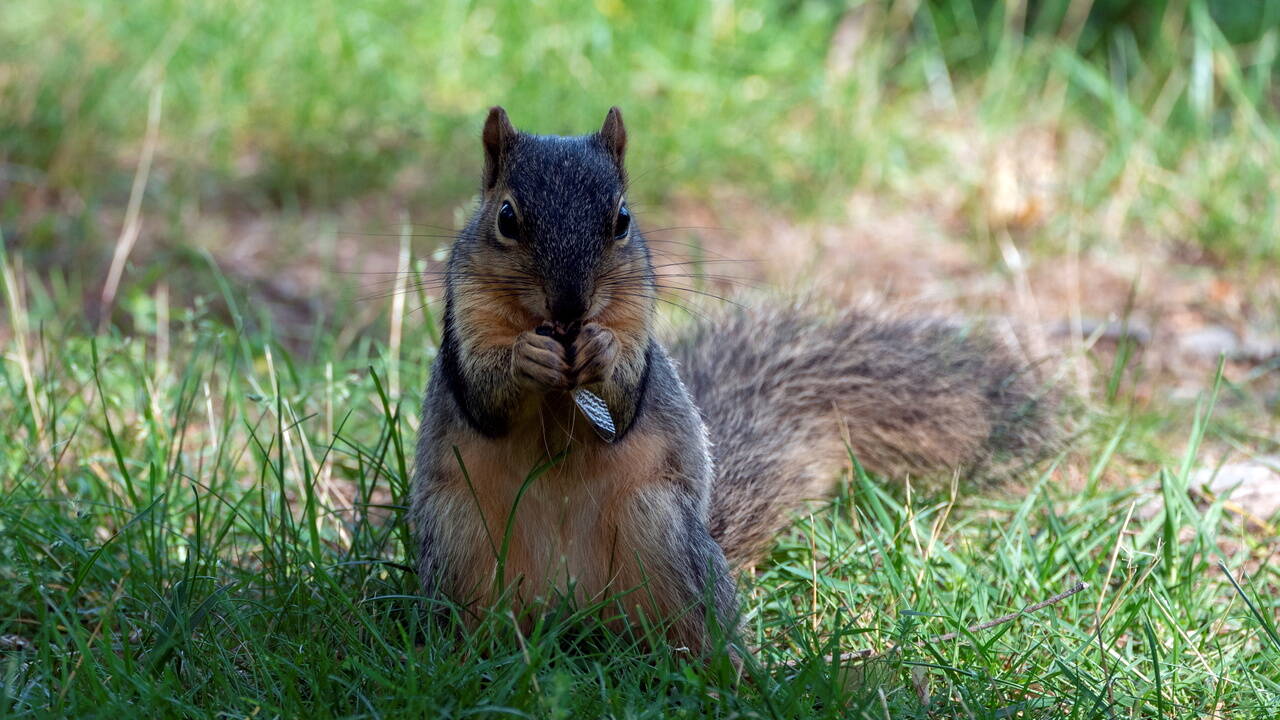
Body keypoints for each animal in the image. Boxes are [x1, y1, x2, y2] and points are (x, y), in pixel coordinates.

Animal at [412, 105, 1059, 650]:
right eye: (506, 217)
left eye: (622, 220)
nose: (571, 307)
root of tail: (571, 616)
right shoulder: (465, 320)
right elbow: (483, 393)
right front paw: (528, 357)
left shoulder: (636, 322)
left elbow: (624, 398)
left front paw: (602, 350)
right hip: (460, 541)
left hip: (661, 531)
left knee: (693, 634)